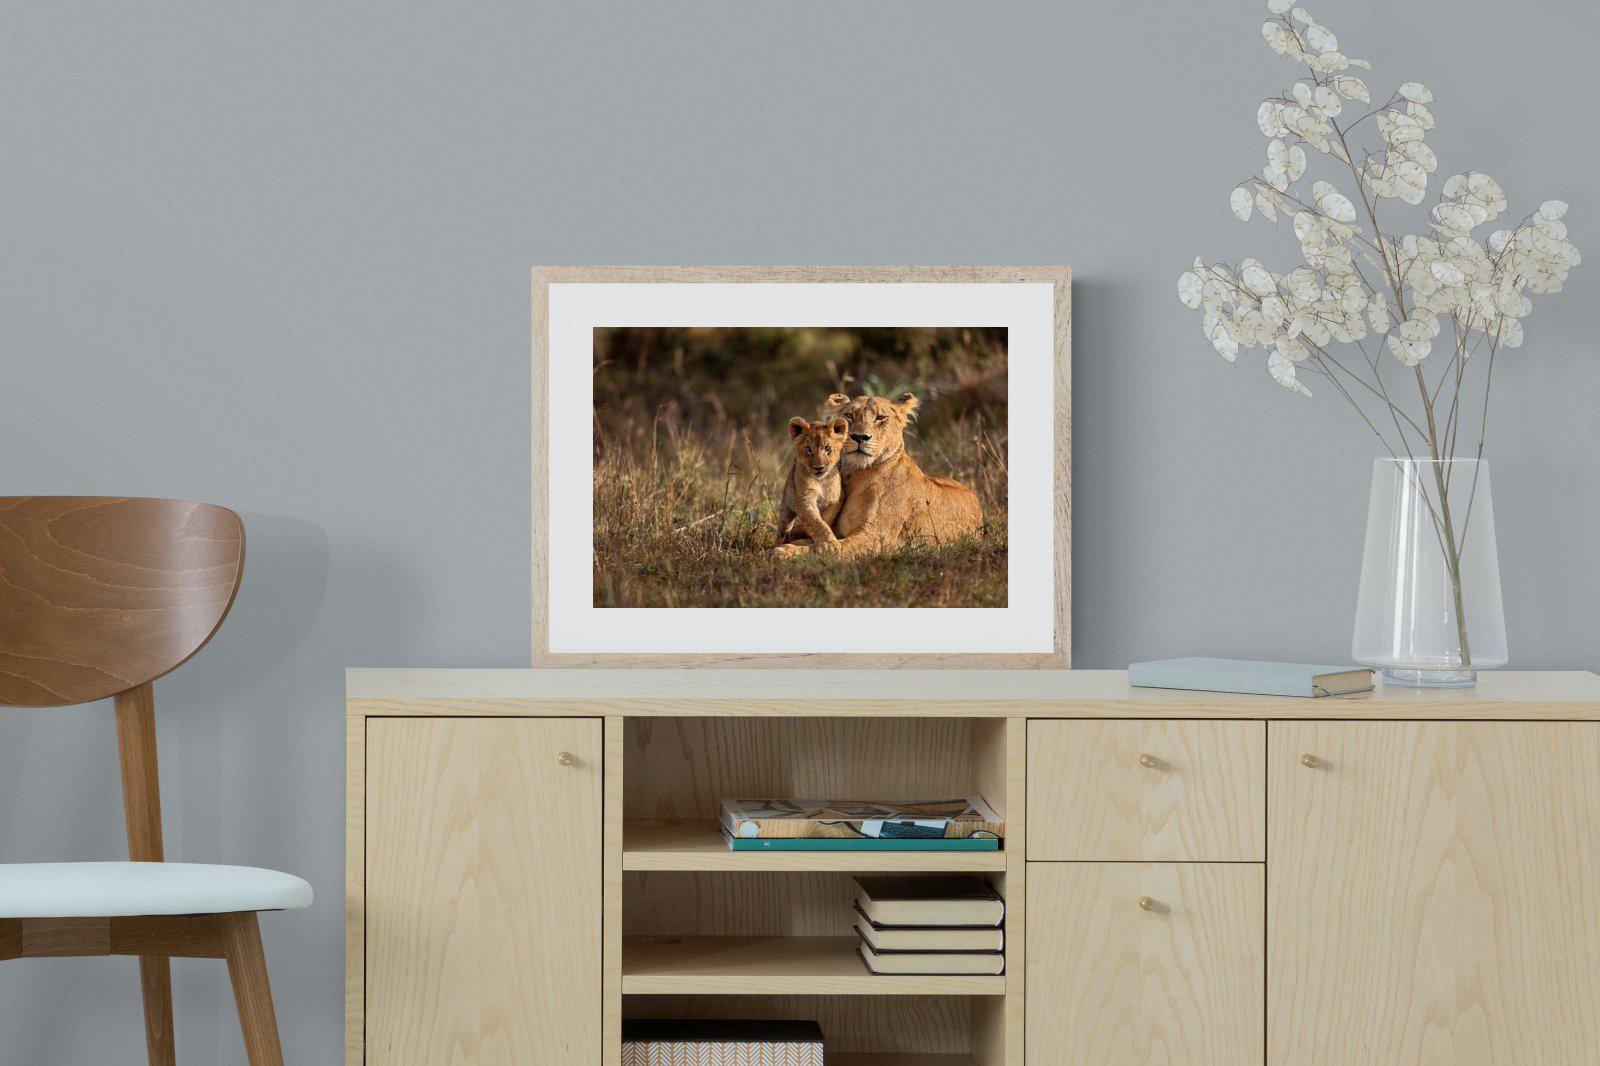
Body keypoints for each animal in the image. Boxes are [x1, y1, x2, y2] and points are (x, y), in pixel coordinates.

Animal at [776, 416, 849, 545]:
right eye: (808, 449)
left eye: (827, 448)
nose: (818, 468)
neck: (821, 481)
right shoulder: (804, 499)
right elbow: (816, 522)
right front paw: (830, 543)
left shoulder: (836, 499)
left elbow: (824, 520)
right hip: (786, 505)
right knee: (783, 527)